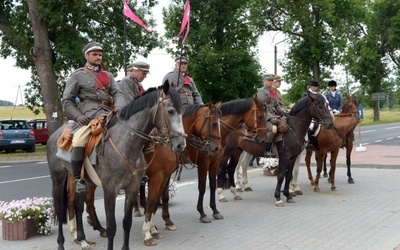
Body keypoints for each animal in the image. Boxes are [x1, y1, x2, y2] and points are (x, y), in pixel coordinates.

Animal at [48, 82, 188, 250]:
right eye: (171, 111)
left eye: (183, 111)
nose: (181, 144)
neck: (126, 143)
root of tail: (55, 134)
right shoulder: (111, 189)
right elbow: (112, 227)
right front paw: (149, 233)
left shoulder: (134, 187)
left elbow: (127, 222)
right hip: (58, 179)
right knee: (61, 207)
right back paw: (64, 242)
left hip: (86, 181)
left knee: (78, 205)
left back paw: (83, 239)